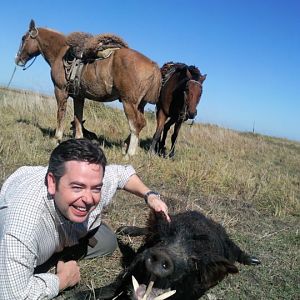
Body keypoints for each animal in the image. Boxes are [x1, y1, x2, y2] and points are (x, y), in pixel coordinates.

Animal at [15, 19, 162, 157]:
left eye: (23, 38)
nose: (17, 59)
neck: (60, 53)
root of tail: (154, 65)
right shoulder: (78, 97)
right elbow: (78, 119)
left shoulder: (60, 91)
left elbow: (61, 115)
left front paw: (56, 139)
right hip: (140, 104)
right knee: (142, 123)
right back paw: (125, 146)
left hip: (128, 102)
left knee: (135, 124)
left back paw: (129, 154)